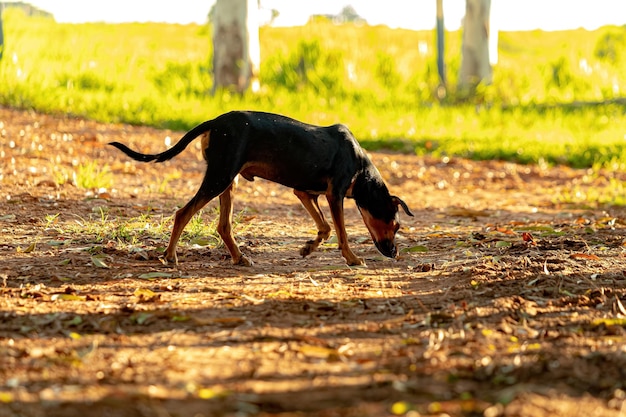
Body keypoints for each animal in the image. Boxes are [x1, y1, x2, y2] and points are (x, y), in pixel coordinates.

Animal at [108, 110, 410, 264]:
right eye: (396, 225)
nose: (395, 253)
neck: (361, 168)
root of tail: (215, 122)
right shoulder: (334, 195)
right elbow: (342, 233)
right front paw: (352, 258)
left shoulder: (305, 192)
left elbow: (324, 228)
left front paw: (307, 248)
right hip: (220, 177)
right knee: (183, 213)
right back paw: (170, 256)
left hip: (228, 181)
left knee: (223, 226)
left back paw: (239, 257)